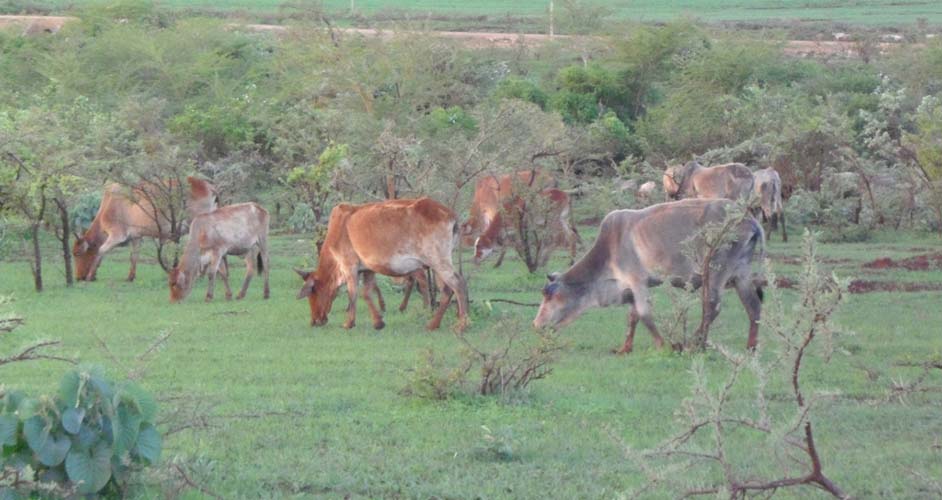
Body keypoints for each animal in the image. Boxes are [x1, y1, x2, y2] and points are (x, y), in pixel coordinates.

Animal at [74, 178, 218, 284]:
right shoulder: (136, 237)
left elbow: (101, 250)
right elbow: (133, 256)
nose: (78, 277)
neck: (108, 204)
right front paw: (130, 277)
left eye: (77, 253)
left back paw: (201, 276)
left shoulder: (117, 235)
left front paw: (90, 276)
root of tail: (208, 186)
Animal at [296, 198, 470, 332]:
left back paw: (462, 325)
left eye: (312, 292)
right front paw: (378, 322)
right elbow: (366, 293)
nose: (314, 321)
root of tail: (451, 214)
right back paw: (433, 325)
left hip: (438, 261)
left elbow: (353, 294)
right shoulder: (368, 269)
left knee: (458, 284)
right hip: (436, 266)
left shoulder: (349, 266)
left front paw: (348, 323)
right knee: (446, 291)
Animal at [536, 197, 764, 354]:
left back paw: (694, 343)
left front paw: (662, 345)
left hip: (715, 271)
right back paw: (751, 347)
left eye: (549, 296)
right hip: (741, 274)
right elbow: (633, 317)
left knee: (712, 306)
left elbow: (644, 314)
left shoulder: (637, 281)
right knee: (753, 306)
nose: (536, 324)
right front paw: (625, 348)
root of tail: (749, 219)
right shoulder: (631, 287)